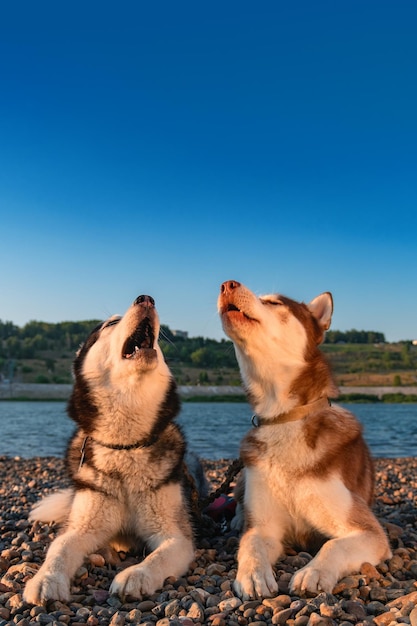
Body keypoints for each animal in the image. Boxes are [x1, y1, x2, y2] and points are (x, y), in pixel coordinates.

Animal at [23, 294, 197, 604]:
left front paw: (136, 575)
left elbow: (159, 556)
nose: (146, 298)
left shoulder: (177, 536)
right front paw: (45, 579)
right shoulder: (83, 525)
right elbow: (59, 548)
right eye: (110, 324)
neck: (125, 446)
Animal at [218, 280, 390, 596]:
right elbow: (251, 543)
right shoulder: (264, 527)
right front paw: (252, 574)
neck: (283, 417)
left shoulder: (368, 531)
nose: (227, 284)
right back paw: (237, 518)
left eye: (274, 302)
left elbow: (334, 546)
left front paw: (314, 572)